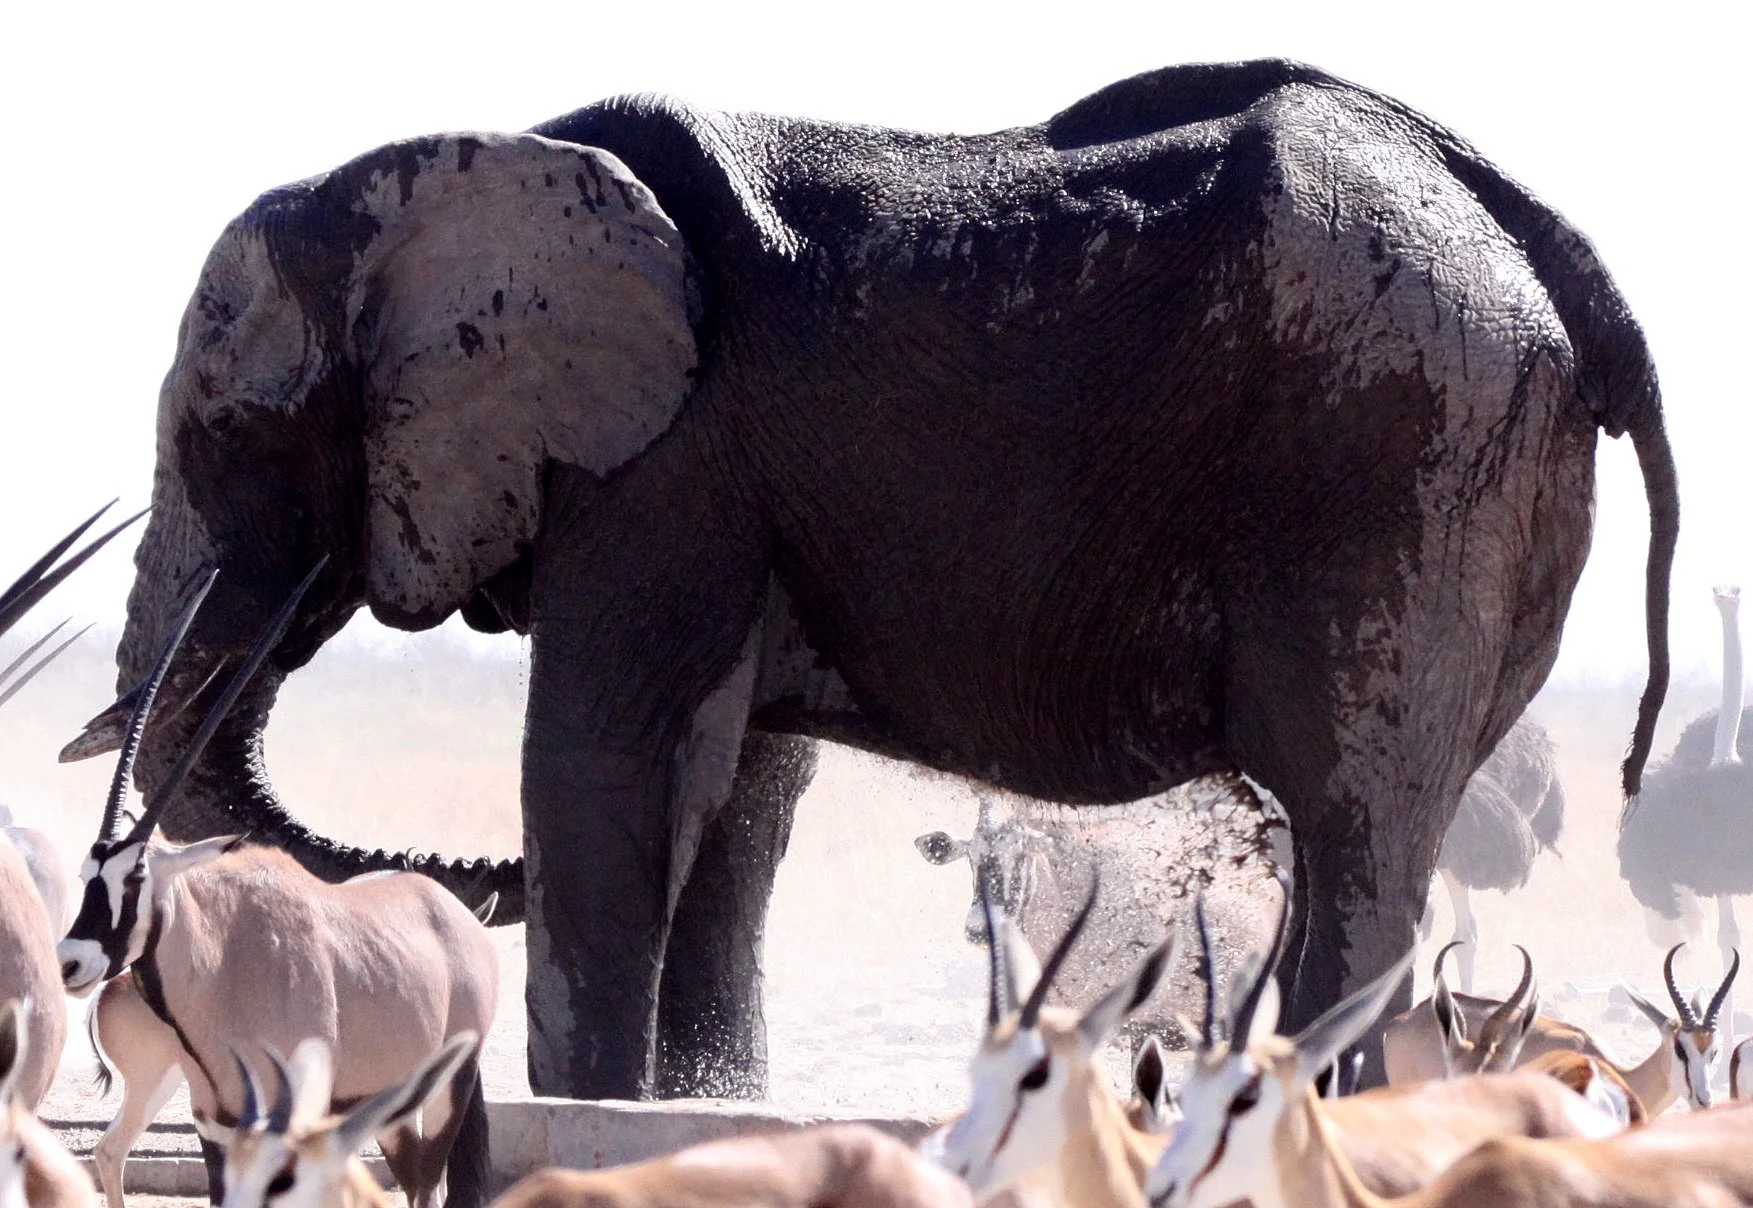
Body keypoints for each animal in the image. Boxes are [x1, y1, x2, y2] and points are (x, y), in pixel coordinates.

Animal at [63, 57, 1677, 1098]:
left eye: (225, 433)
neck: (454, 164)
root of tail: (1543, 233)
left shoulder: (670, 461)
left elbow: (610, 773)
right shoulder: (722, 490)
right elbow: (728, 806)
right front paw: (702, 1112)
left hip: (1402, 455)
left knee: (1353, 832)